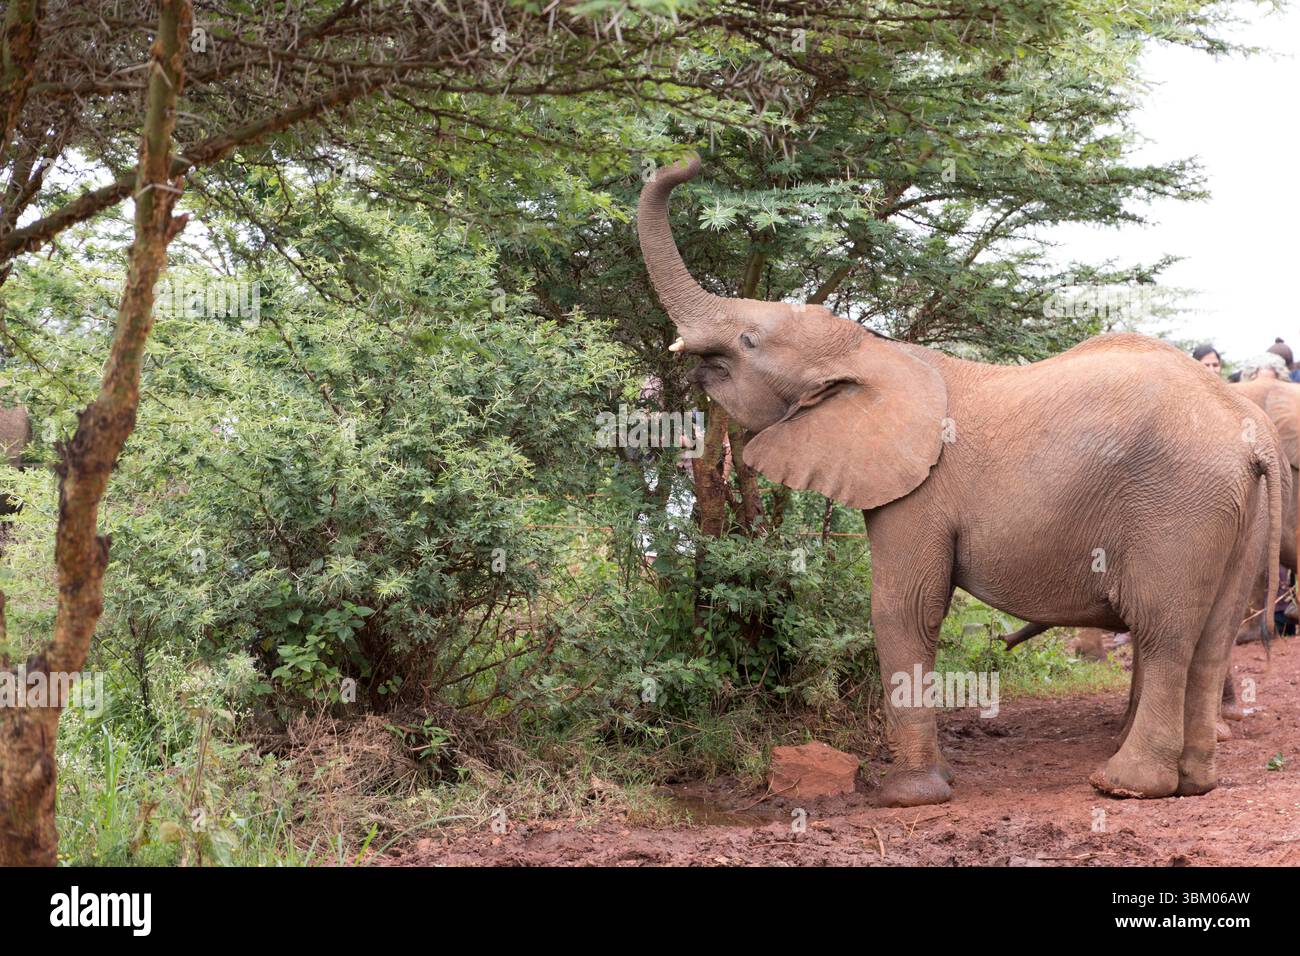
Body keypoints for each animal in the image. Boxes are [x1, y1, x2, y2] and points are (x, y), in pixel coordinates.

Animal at [637, 156, 1284, 806]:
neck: (871, 350)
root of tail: (1248, 433)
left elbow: (904, 609)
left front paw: (907, 795)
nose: (689, 162)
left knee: (1162, 633)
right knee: (1213, 636)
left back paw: (1123, 786)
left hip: (1178, 505)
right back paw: (1195, 784)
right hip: (1239, 510)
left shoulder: (918, 492)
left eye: (750, 342)